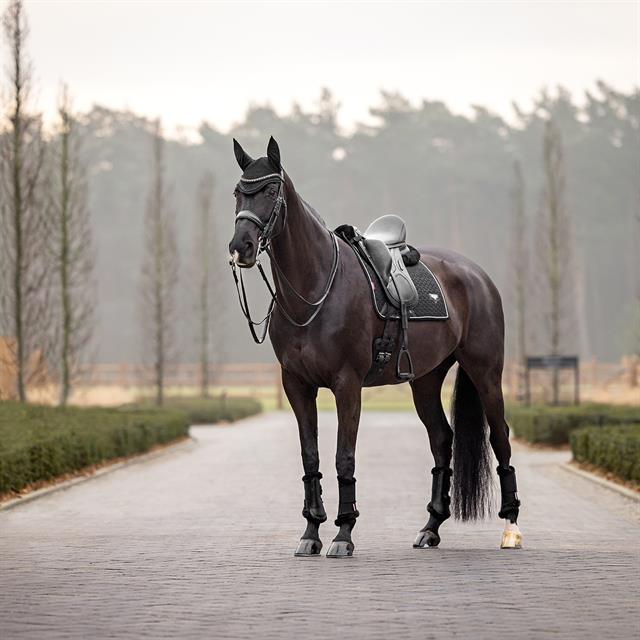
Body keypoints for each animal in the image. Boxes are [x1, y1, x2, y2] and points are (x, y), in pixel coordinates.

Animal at [228, 138, 524, 556]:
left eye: (270, 191)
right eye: (238, 193)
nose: (242, 246)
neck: (315, 290)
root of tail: (476, 274)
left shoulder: (347, 384)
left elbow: (344, 457)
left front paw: (343, 533)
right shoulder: (296, 385)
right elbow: (310, 457)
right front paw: (310, 532)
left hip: (485, 372)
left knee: (500, 438)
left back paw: (511, 528)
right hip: (426, 379)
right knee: (441, 440)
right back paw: (430, 528)